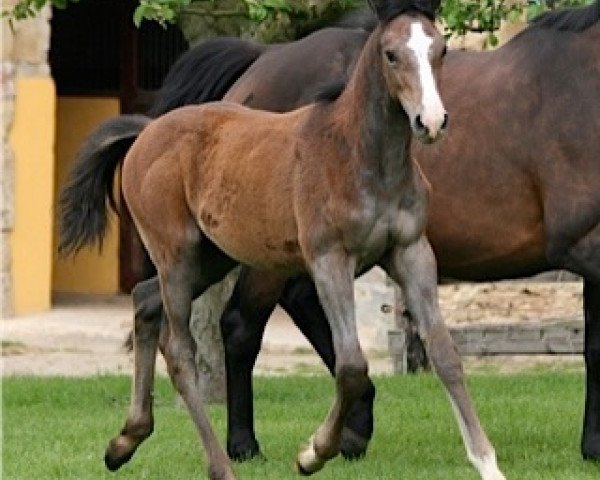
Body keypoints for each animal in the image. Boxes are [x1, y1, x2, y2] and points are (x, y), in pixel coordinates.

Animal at [61, 1, 506, 478]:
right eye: (391, 54)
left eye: (440, 50)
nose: (432, 122)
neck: (361, 157)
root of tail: (145, 132)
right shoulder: (330, 259)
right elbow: (351, 366)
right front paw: (313, 453)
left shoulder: (411, 252)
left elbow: (445, 353)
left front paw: (487, 463)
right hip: (177, 256)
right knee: (179, 350)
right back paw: (220, 465)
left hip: (212, 256)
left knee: (144, 301)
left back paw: (124, 441)